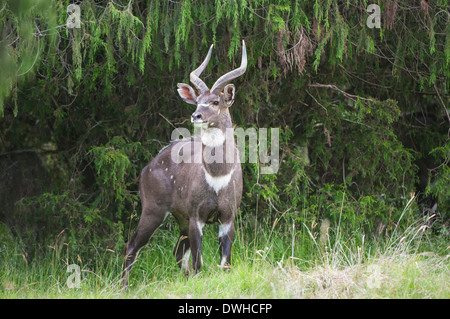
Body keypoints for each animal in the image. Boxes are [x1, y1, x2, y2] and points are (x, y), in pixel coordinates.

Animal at [123, 40, 248, 288]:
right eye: (198, 101)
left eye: (216, 101)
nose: (196, 115)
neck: (217, 175)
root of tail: (146, 169)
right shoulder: (196, 215)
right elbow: (200, 263)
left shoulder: (228, 216)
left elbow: (225, 264)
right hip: (153, 209)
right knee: (132, 246)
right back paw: (121, 288)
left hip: (179, 218)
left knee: (178, 252)